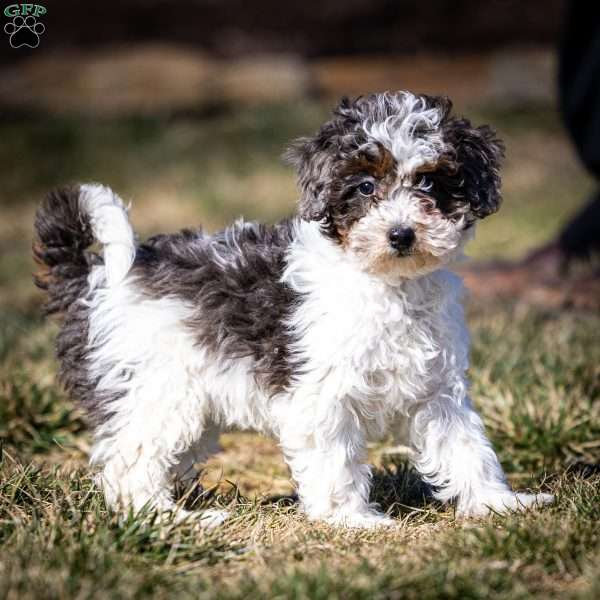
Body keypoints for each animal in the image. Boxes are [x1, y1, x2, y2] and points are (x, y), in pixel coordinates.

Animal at [32, 91, 552, 528]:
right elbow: (335, 459)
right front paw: (351, 519)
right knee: (129, 466)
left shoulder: (438, 391)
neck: (385, 283)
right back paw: (171, 520)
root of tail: (96, 276)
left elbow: (466, 447)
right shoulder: (323, 394)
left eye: (428, 180)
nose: (401, 235)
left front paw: (499, 503)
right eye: (365, 187)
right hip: (156, 394)